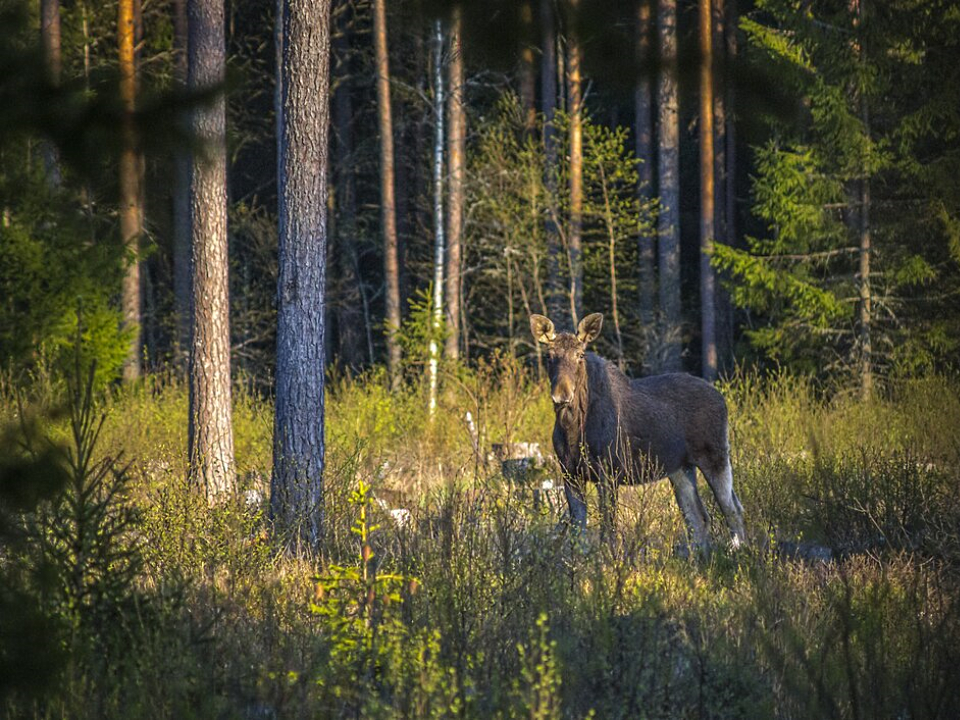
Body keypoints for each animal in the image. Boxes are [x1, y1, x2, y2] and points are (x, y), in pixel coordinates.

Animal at [528, 312, 748, 548]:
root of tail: (722, 398)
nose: (562, 394)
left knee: (733, 509)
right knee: (698, 517)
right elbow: (578, 534)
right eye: (549, 356)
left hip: (715, 456)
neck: (572, 428)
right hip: (680, 468)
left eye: (580, 355)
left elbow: (609, 530)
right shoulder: (570, 474)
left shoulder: (608, 473)